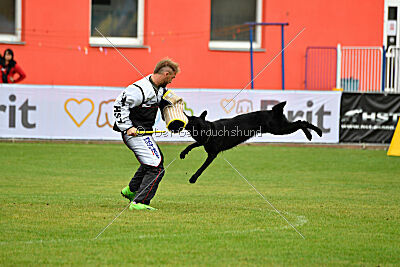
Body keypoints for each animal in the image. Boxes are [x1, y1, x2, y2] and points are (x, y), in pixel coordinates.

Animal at [180, 102, 324, 184]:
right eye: (193, 125)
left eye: (200, 126)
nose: (203, 133)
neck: (210, 130)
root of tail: (273, 111)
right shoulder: (204, 142)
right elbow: (192, 144)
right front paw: (183, 153)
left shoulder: (212, 154)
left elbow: (202, 167)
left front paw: (193, 178)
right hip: (281, 128)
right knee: (300, 121)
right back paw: (311, 134)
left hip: (279, 129)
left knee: (301, 122)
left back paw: (316, 132)